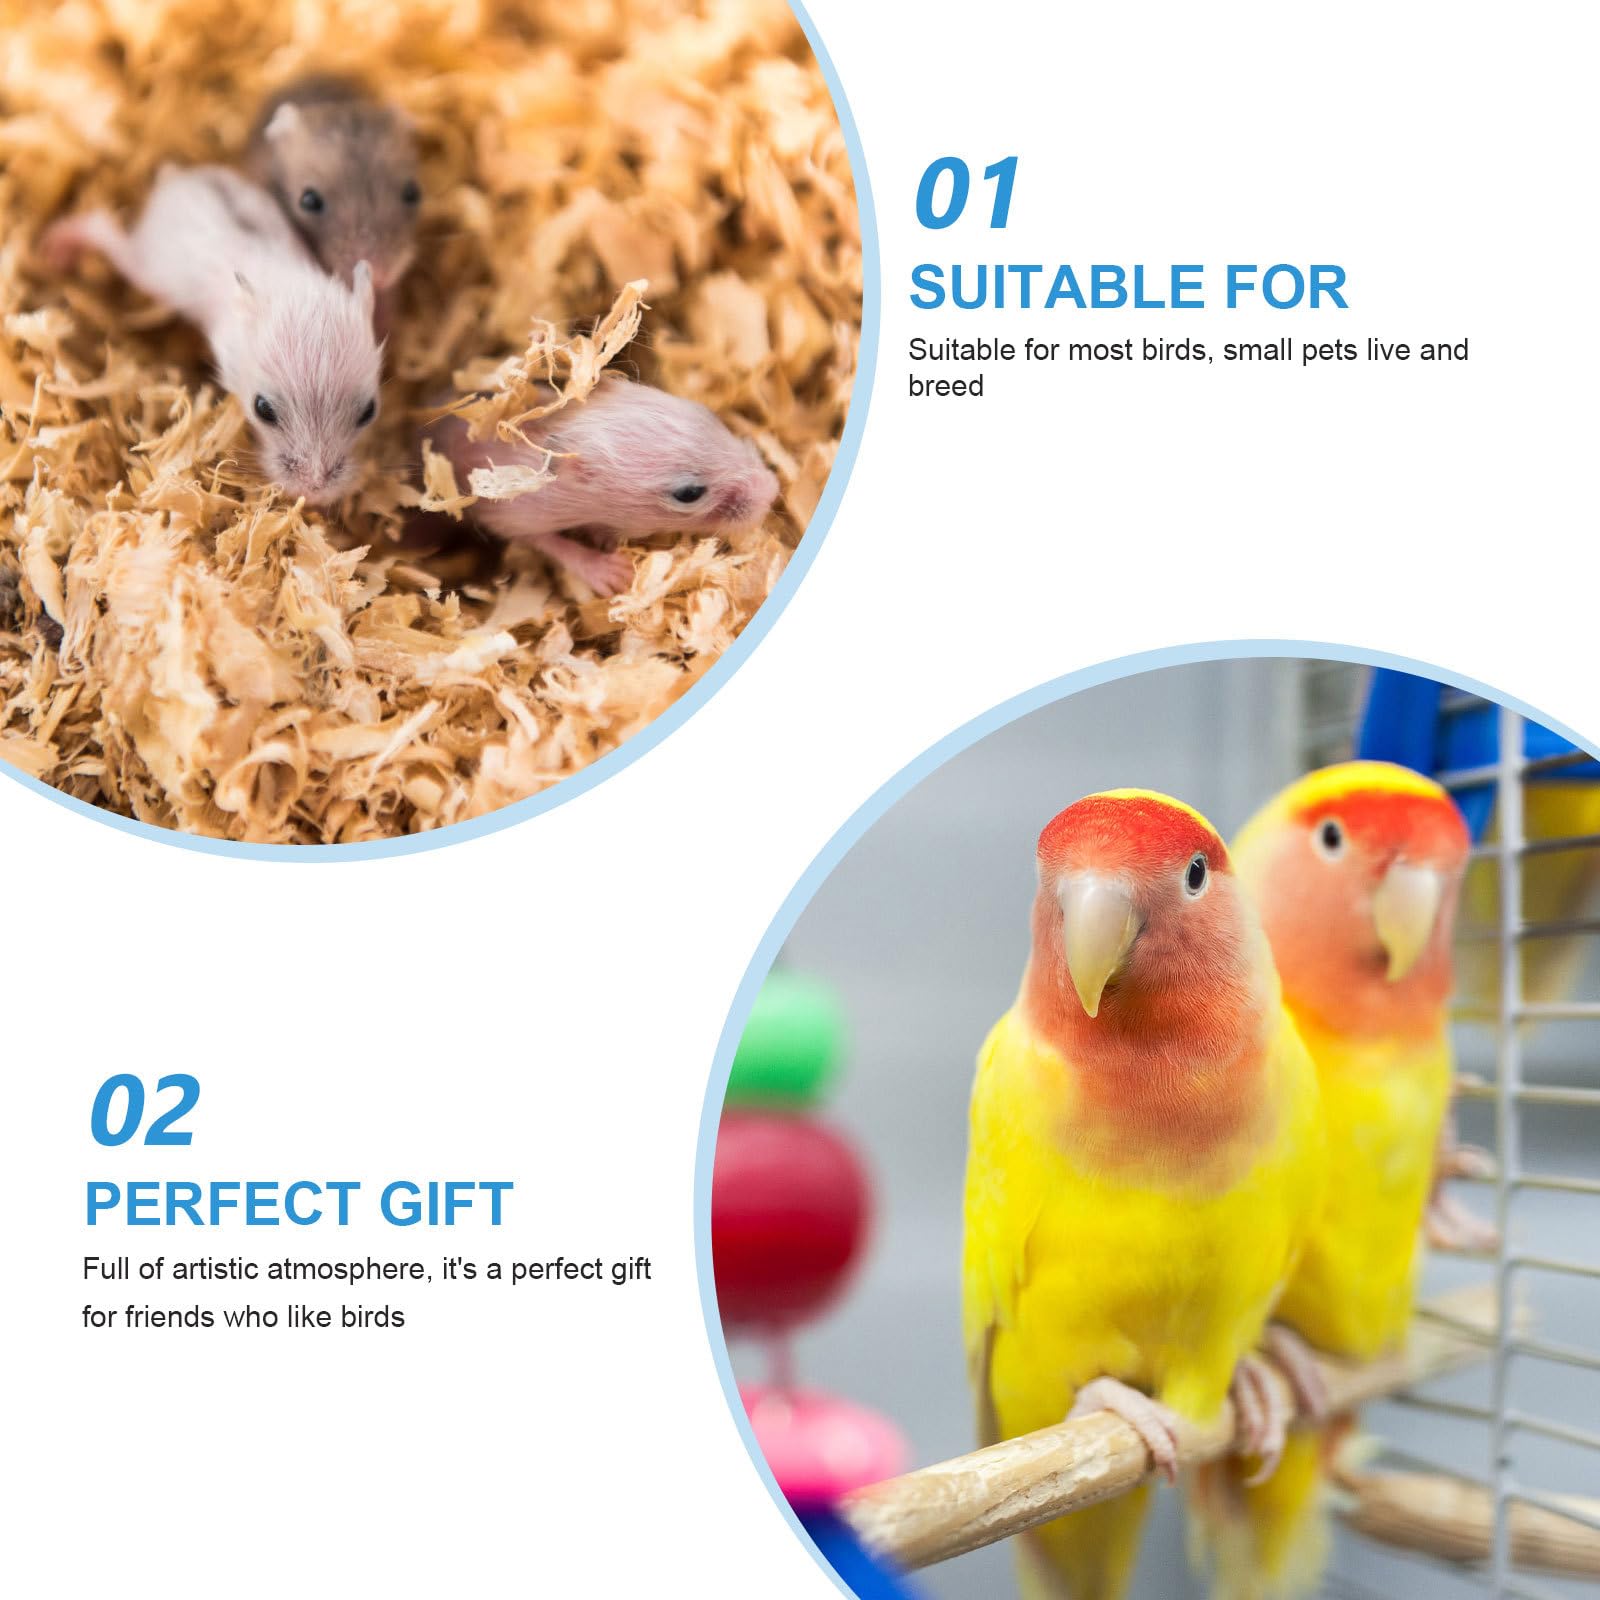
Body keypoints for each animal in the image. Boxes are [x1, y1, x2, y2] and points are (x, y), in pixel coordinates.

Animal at [41, 165, 383, 505]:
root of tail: (177, 179)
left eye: (369, 411)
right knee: (109, 235)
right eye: (263, 409)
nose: (313, 493)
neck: (293, 287)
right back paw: (61, 244)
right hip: (148, 266)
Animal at [422, 377, 781, 596]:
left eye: (708, 412)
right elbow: (551, 543)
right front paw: (615, 574)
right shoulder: (513, 514)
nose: (772, 490)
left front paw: (604, 536)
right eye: (689, 494)